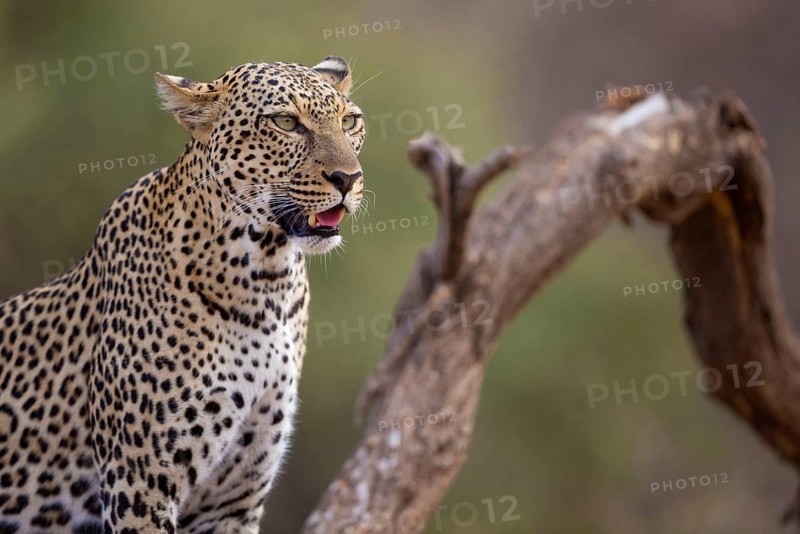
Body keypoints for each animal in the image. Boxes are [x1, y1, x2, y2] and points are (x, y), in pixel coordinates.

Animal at [0, 55, 366, 533]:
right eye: (286, 122)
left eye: (350, 121)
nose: (349, 178)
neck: (267, 280)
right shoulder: (139, 485)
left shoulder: (234, 500)